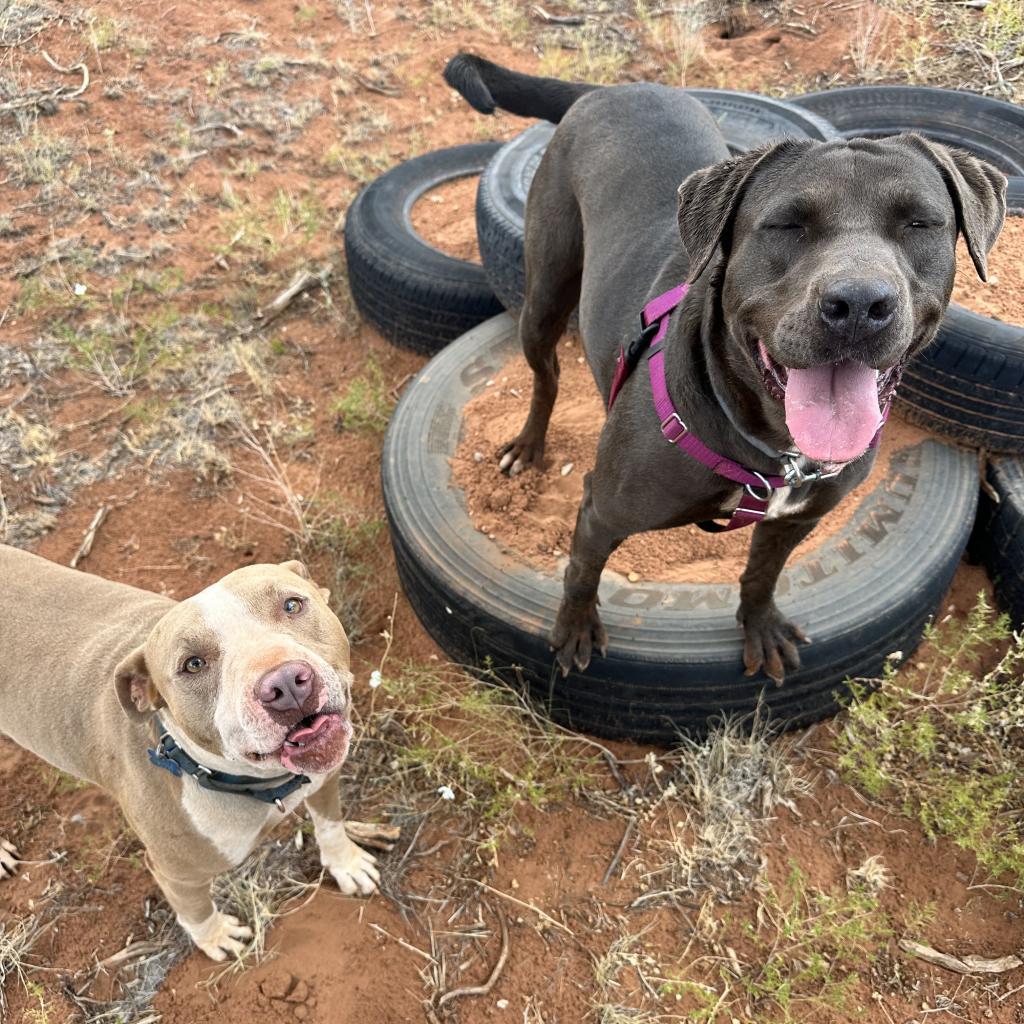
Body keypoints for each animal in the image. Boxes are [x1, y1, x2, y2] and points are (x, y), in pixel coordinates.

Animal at [0, 544, 380, 958]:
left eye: (292, 605)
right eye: (193, 664)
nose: (285, 684)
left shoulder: (323, 778)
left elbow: (330, 822)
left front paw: (345, 862)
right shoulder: (175, 873)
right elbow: (195, 908)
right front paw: (215, 936)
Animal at [444, 54, 1003, 679]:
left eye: (920, 224)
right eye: (786, 225)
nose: (859, 303)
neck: (777, 450)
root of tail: (617, 88)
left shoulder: (793, 522)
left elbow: (762, 575)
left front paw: (759, 625)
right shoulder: (601, 511)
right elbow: (581, 573)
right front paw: (575, 628)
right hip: (544, 293)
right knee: (546, 377)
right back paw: (528, 446)